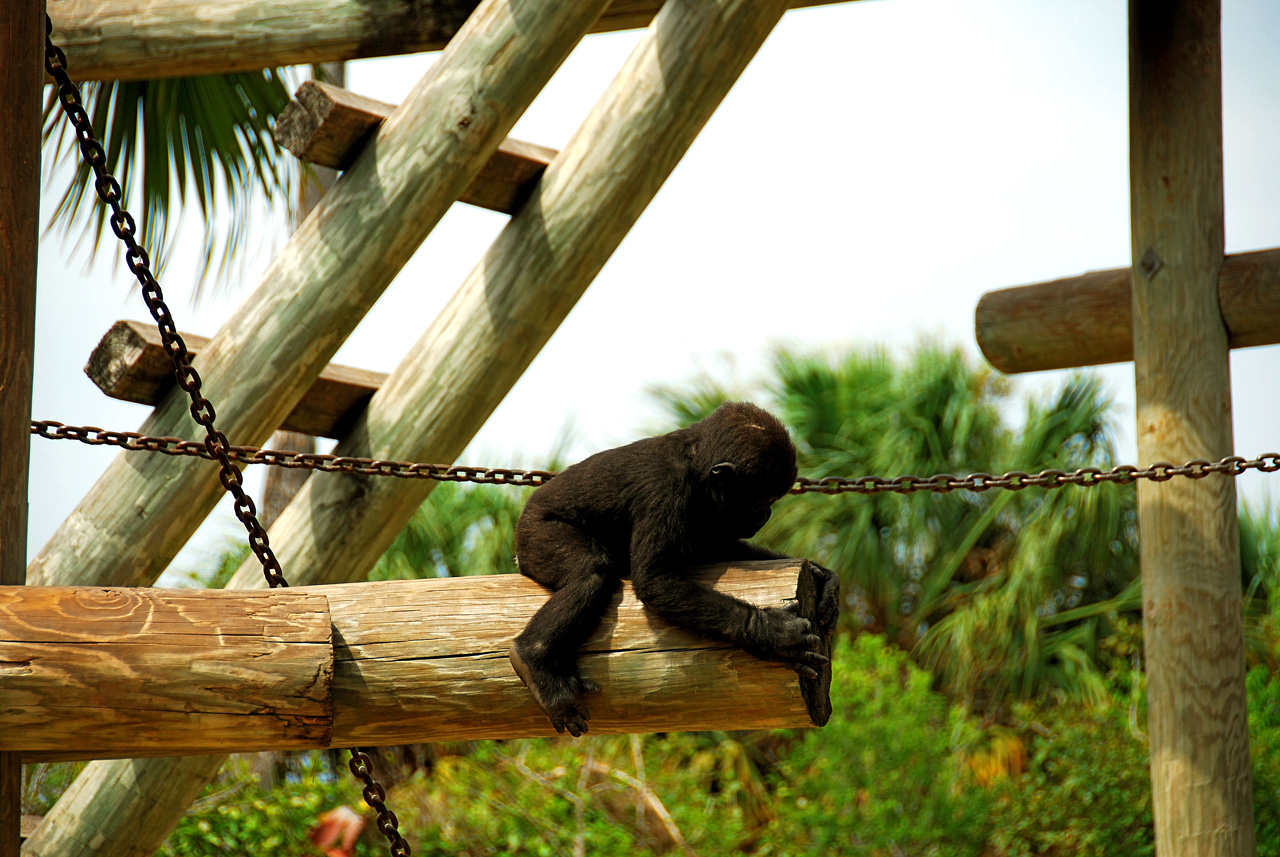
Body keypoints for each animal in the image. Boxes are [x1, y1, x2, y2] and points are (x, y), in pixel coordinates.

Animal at [509, 404, 839, 736]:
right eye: (764, 500)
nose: (767, 514)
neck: (695, 463)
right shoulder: (666, 490)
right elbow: (656, 579)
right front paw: (770, 633)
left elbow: (717, 547)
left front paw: (824, 578)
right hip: (536, 535)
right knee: (590, 573)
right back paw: (535, 661)